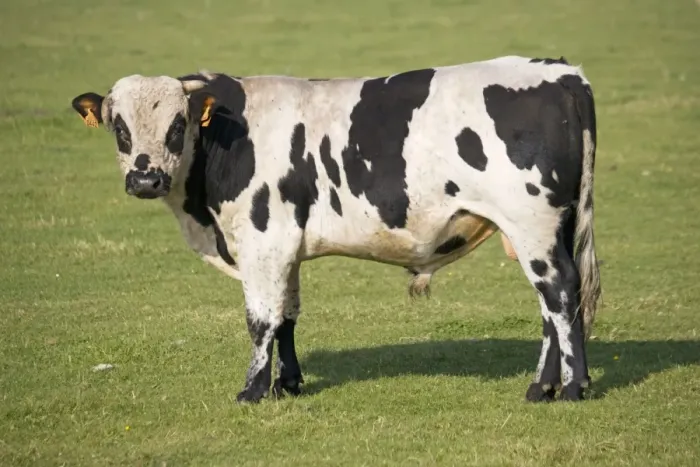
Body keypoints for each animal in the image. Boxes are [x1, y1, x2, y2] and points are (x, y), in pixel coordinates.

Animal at [70, 55, 600, 404]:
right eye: (119, 128)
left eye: (178, 125)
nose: (145, 179)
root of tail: (558, 70)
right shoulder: (285, 246)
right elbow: (286, 316)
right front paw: (289, 384)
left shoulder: (263, 240)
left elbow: (260, 320)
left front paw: (252, 390)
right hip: (544, 229)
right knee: (552, 305)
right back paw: (543, 386)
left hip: (532, 224)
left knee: (559, 292)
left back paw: (572, 387)